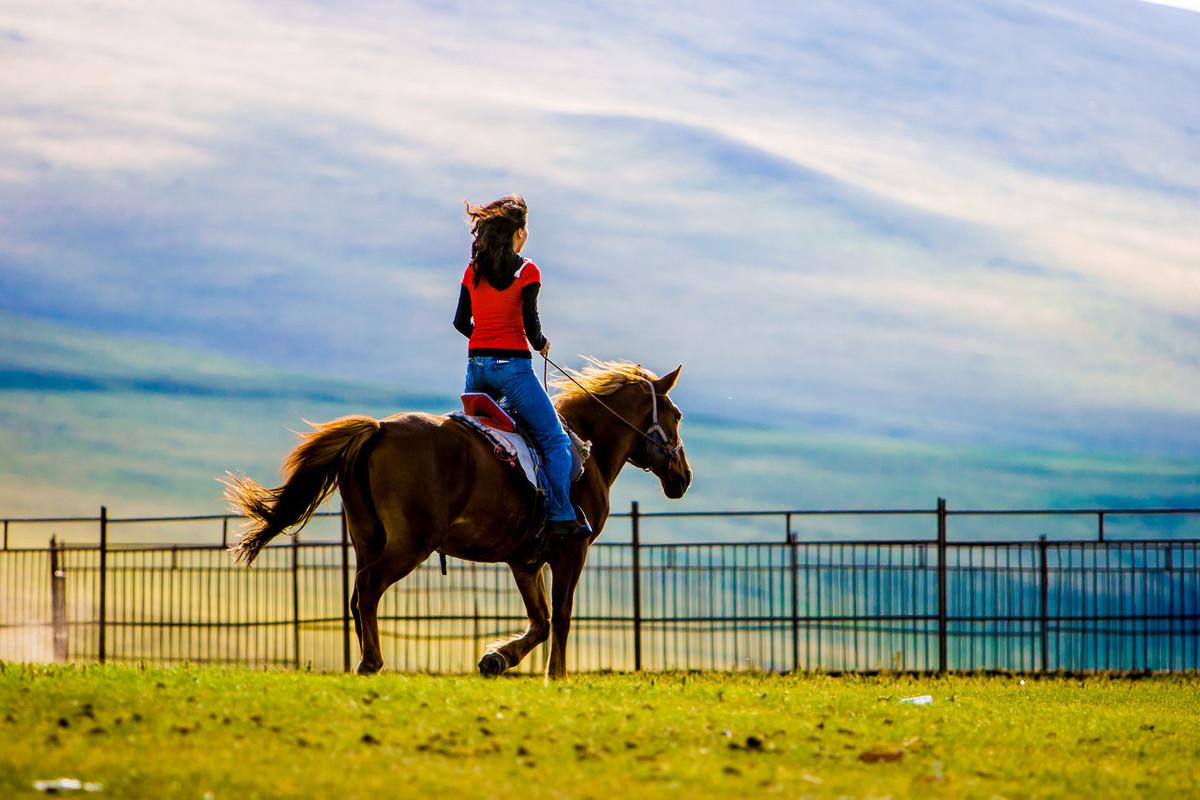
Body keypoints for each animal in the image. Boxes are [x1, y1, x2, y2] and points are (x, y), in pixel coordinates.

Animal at [225, 359, 696, 681]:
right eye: (677, 416)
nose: (684, 476)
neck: (586, 447)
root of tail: (378, 429)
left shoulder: (524, 562)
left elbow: (541, 620)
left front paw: (497, 658)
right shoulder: (570, 551)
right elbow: (561, 616)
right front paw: (555, 675)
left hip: (367, 538)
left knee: (359, 595)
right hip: (409, 544)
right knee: (369, 589)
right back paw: (371, 661)